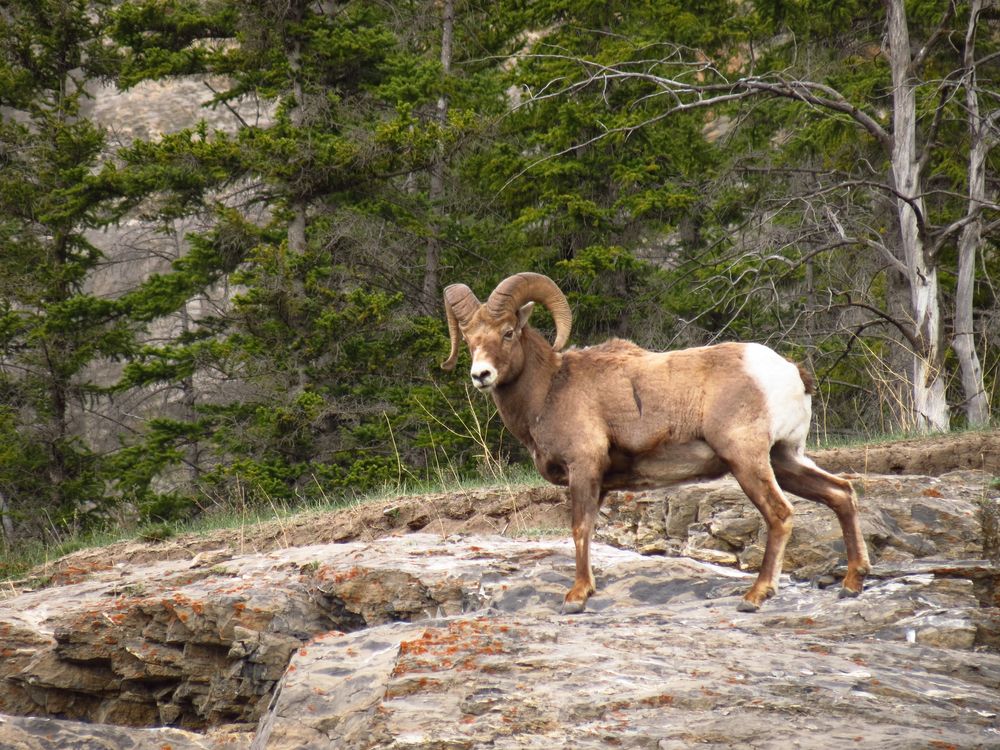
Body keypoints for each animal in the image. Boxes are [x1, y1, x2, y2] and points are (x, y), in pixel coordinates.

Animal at [442, 274, 872, 612]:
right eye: (470, 340)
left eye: (508, 333)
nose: (481, 375)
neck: (549, 389)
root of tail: (790, 372)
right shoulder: (599, 483)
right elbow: (589, 530)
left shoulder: (584, 469)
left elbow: (579, 529)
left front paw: (576, 598)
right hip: (786, 459)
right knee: (841, 493)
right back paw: (852, 584)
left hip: (747, 461)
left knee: (780, 514)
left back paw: (755, 596)